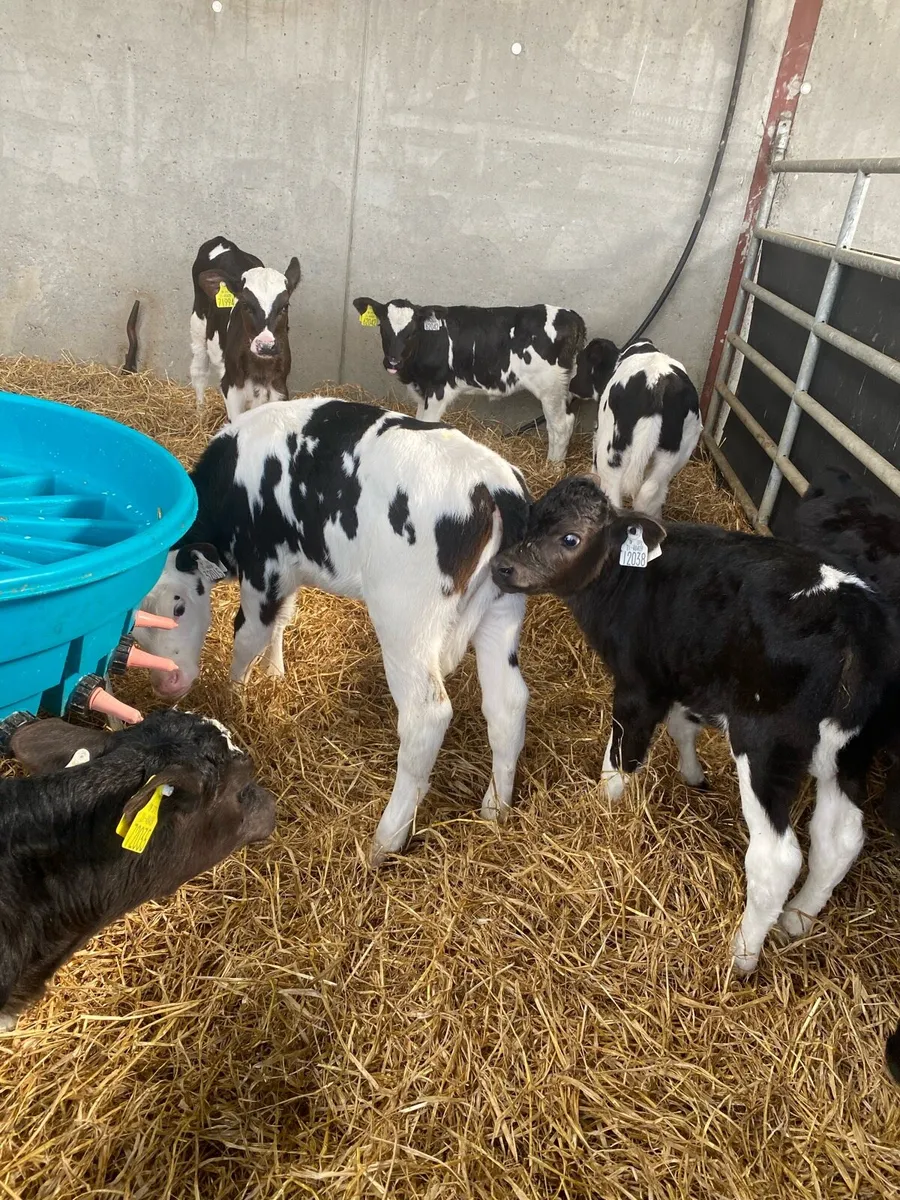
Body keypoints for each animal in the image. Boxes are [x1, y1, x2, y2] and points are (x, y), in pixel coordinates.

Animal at [133, 396, 531, 867]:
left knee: (427, 717)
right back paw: (495, 811)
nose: (167, 684)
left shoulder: (264, 568)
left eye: (178, 604)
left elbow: (248, 634)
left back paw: (383, 842)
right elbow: (282, 621)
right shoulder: (290, 570)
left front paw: (233, 698)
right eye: (134, 626)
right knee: (507, 704)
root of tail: (493, 486)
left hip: (406, 620)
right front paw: (274, 674)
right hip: (501, 612)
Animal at [190, 235, 301, 422]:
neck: (260, 368)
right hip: (198, 324)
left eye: (285, 306)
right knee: (199, 369)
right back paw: (200, 414)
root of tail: (222, 240)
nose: (265, 345)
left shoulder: (279, 387)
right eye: (245, 305)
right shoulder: (232, 387)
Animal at [352, 296, 586, 463]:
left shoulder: (439, 389)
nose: (393, 362)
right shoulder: (422, 390)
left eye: (412, 332)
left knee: (560, 425)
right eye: (383, 329)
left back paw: (553, 467)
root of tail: (572, 316)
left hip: (550, 387)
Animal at [491, 474, 898, 977]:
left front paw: (601, 812)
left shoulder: (640, 685)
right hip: (851, 753)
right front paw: (692, 774)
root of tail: (856, 620)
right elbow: (683, 728)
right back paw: (798, 918)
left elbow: (620, 760)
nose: (501, 567)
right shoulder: (683, 677)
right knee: (838, 838)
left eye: (570, 537)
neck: (628, 580)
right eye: (531, 517)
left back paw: (742, 956)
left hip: (767, 742)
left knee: (778, 857)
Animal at [569, 338, 702, 519]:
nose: (570, 385)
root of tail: (655, 386)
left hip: (610, 457)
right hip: (672, 457)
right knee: (650, 495)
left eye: (579, 360)